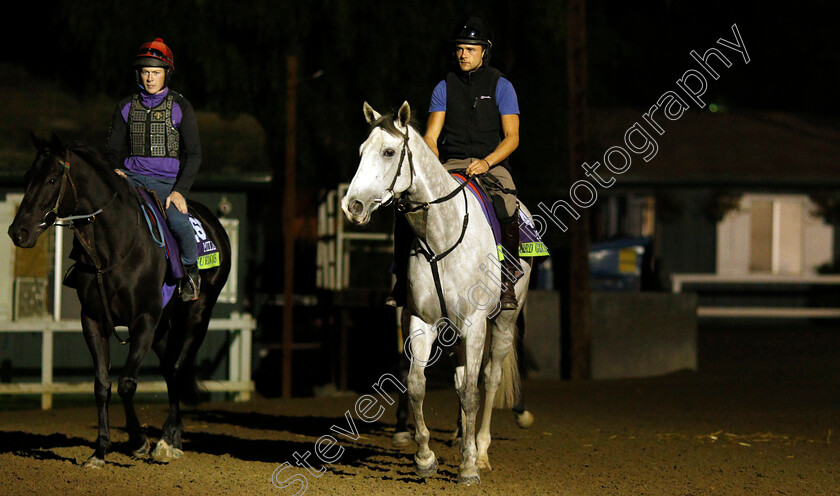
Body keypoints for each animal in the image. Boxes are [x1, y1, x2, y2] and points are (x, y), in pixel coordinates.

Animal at [10, 134, 233, 466]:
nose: (18, 232)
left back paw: (167, 439)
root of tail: (215, 225)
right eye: (27, 178)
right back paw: (173, 436)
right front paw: (100, 451)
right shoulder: (93, 320)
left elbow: (127, 383)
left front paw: (138, 442)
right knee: (169, 369)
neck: (115, 247)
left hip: (197, 314)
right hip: (162, 326)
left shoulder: (143, 321)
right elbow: (102, 384)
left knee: (177, 367)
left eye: (51, 179)